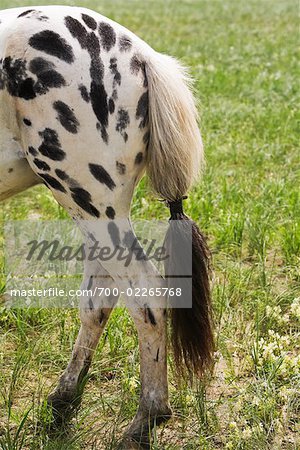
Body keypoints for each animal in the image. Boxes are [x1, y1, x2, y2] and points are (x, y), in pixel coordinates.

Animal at [0, 5, 213, 448]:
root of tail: (140, 52)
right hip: (98, 209)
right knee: (100, 299)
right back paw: (64, 399)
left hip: (86, 196)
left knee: (145, 297)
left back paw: (146, 418)